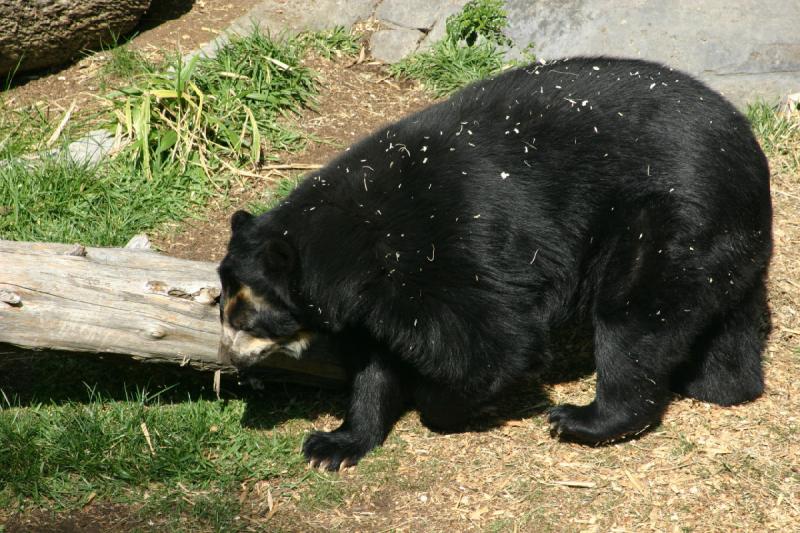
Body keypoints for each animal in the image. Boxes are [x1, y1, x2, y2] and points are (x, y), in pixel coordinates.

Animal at [216, 57, 772, 470]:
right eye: (221, 308)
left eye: (249, 320)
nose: (230, 362)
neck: (361, 247)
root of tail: (747, 148)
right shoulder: (378, 296)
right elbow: (376, 363)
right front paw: (333, 444)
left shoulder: (450, 249)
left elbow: (493, 343)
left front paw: (438, 401)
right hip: (723, 243)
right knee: (727, 323)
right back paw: (715, 385)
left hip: (663, 224)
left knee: (633, 319)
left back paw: (582, 418)